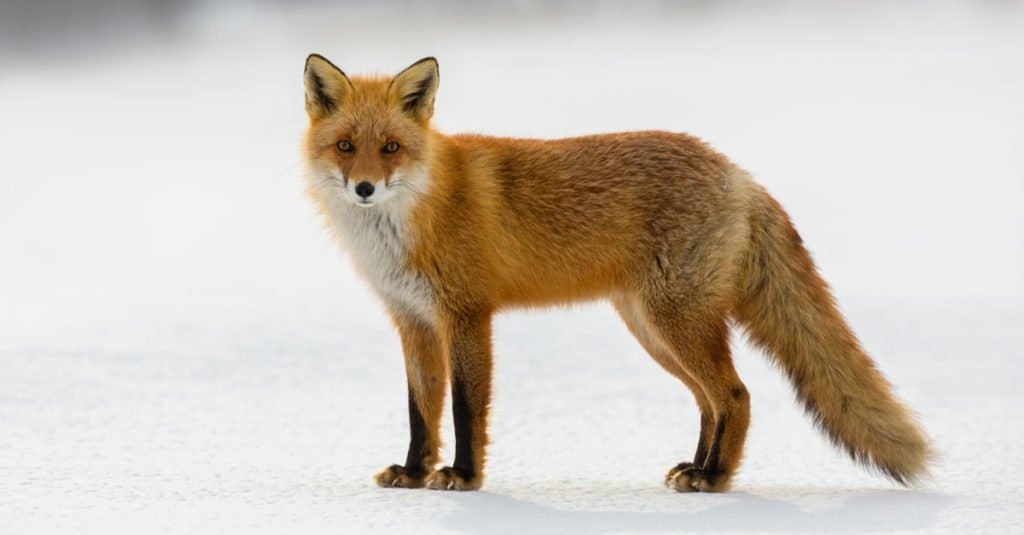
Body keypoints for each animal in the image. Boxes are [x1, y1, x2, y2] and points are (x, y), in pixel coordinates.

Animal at [299, 55, 933, 491]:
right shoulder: (412, 320)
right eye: (346, 146)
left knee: (737, 394)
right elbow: (420, 411)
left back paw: (714, 479)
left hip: (674, 322)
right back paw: (697, 467)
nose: (364, 189)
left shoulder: (466, 316)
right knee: (711, 402)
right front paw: (413, 474)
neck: (411, 217)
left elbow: (463, 409)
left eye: (391, 148)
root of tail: (736, 170)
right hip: (652, 330)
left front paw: (464, 477)